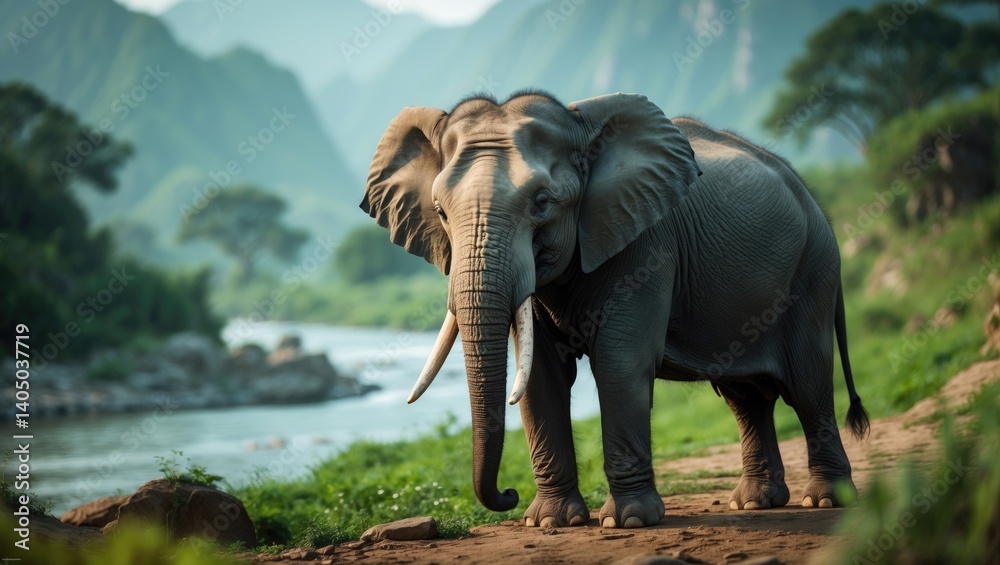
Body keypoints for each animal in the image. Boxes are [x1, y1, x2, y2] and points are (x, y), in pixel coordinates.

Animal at [361, 90, 870, 529]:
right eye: (441, 212)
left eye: (541, 203)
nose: (507, 494)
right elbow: (541, 375)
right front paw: (550, 522)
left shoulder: (647, 244)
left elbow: (620, 365)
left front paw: (629, 521)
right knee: (745, 397)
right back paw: (755, 503)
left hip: (814, 271)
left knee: (806, 383)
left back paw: (826, 501)